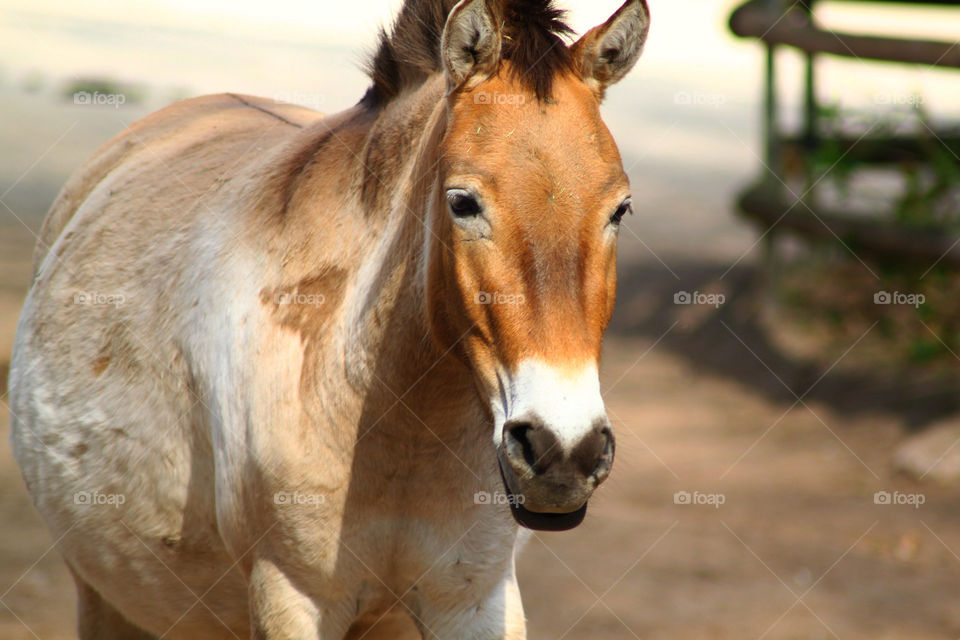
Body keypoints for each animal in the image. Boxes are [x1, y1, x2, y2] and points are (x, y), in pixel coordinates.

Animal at [8, 0, 650, 637]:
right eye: (463, 202)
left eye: (620, 208)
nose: (564, 451)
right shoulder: (290, 596)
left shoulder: (476, 599)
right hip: (102, 594)